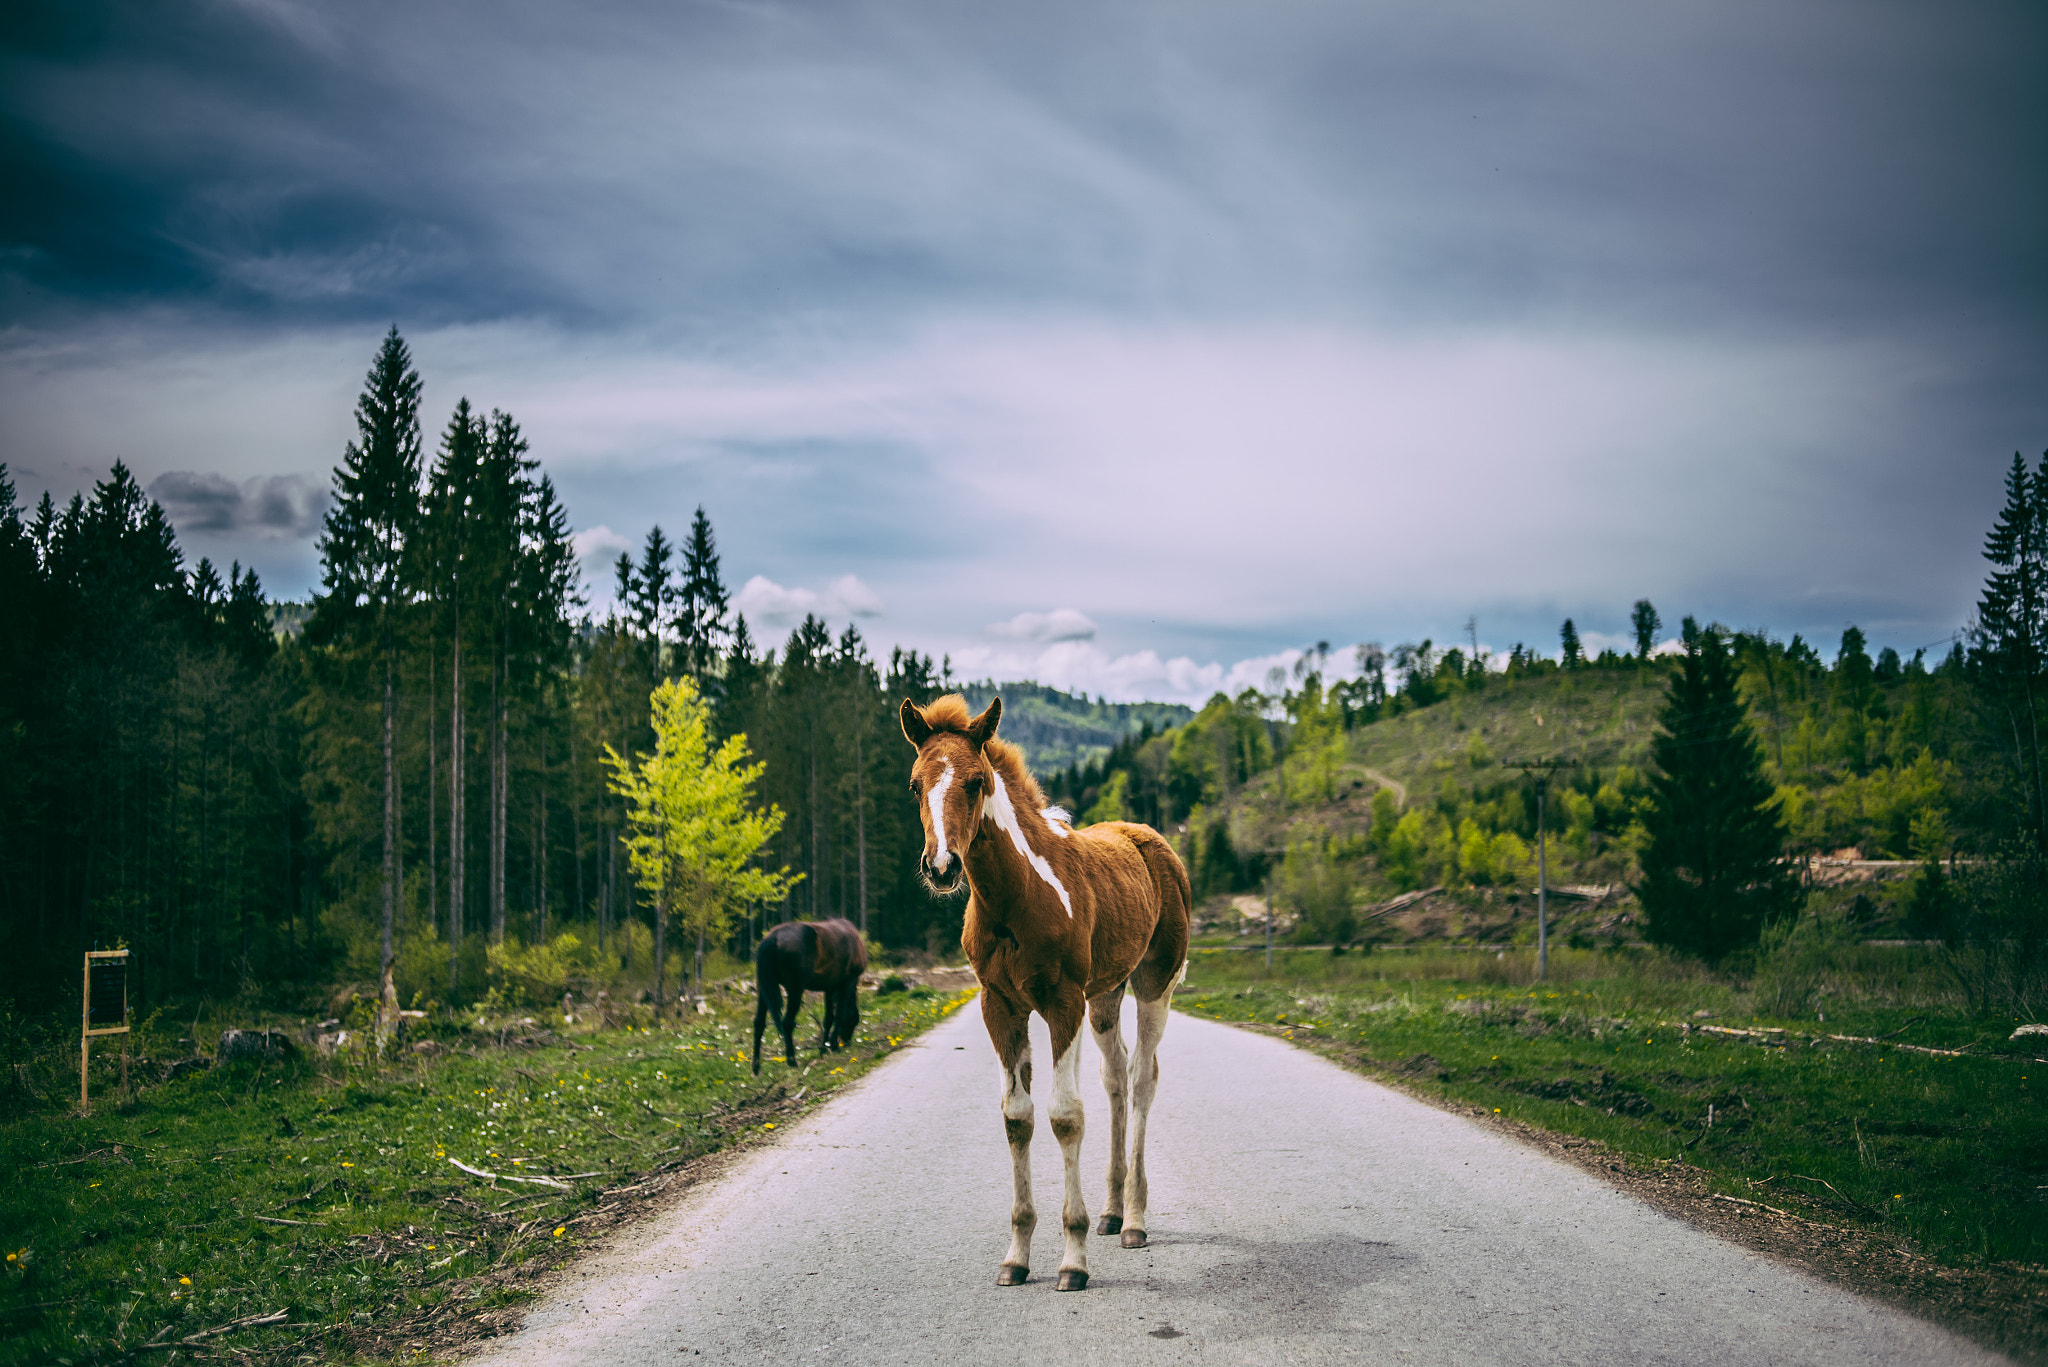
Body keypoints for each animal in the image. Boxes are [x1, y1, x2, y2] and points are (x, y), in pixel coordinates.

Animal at [761, 918, 872, 1082]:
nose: (847, 1041)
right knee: (787, 1022)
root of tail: (772, 939)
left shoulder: (830, 987)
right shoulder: (848, 980)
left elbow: (828, 1018)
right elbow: (840, 1014)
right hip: (795, 989)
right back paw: (791, 1059)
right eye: (855, 1020)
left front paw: (824, 1047)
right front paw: (833, 1045)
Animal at [905, 696, 1196, 1295]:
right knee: (1115, 1075)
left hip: (1153, 984)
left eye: (975, 782)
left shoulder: (1063, 1002)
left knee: (1142, 1078)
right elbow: (1018, 1117)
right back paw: (1111, 1212)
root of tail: (1157, 846)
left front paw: (1073, 1261)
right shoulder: (999, 1005)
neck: (1015, 898)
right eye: (915, 784)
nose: (941, 867)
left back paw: (1134, 1221)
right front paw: (1016, 1258)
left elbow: (1065, 1115)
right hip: (1105, 996)